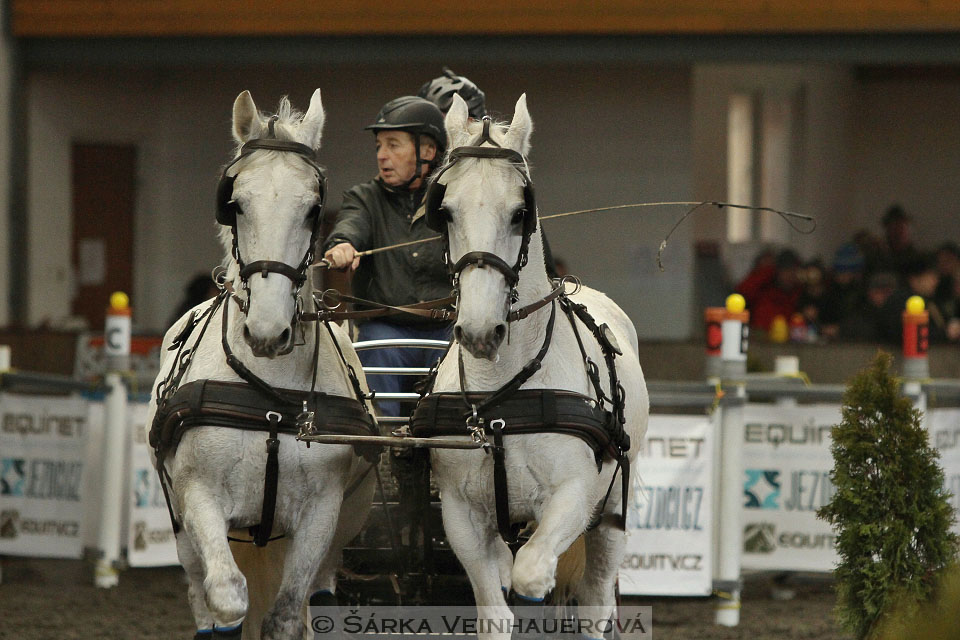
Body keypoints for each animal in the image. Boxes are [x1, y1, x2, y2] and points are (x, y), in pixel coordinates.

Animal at [146, 90, 376, 640]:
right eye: (235, 204)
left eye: (314, 208)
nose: (268, 333)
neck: (271, 400)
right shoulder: (200, 499)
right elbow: (228, 598)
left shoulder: (320, 515)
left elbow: (286, 614)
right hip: (185, 529)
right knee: (203, 594)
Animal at [424, 95, 648, 640]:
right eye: (445, 211)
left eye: (520, 213)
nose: (480, 332)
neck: (502, 398)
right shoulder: (461, 515)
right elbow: (496, 608)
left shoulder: (573, 496)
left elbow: (531, 574)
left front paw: (538, 579)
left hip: (613, 513)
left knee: (593, 602)